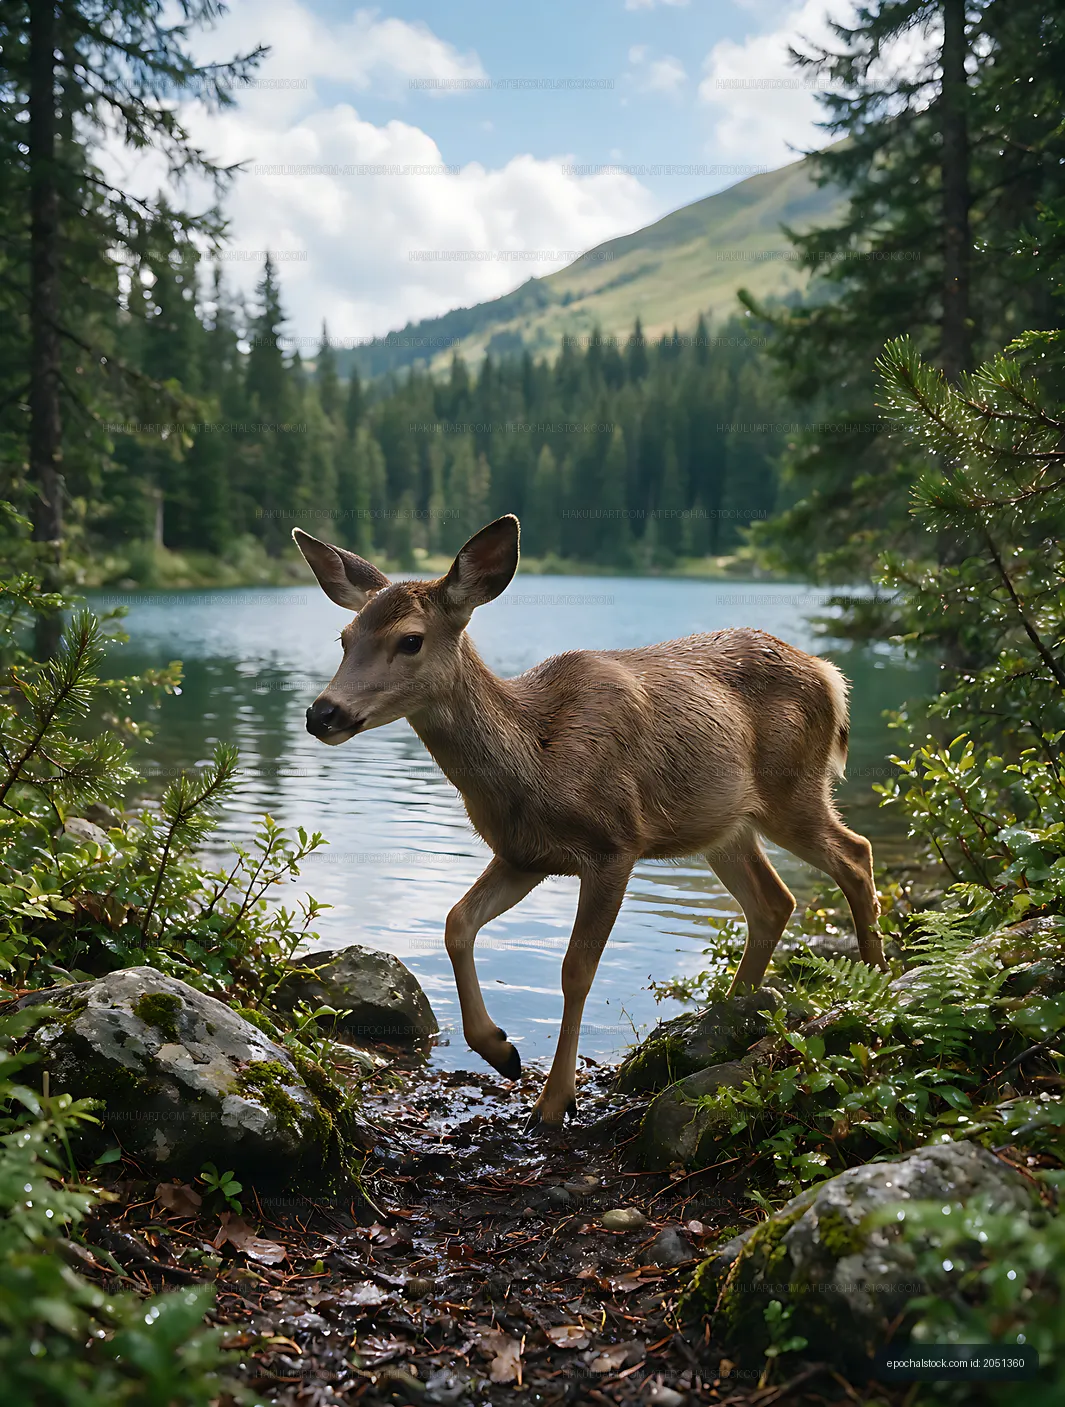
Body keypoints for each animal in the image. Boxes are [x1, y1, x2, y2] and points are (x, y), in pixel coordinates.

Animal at [294, 514, 885, 1128]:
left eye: (410, 640)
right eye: (344, 638)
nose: (322, 713)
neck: (536, 760)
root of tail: (830, 675)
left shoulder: (614, 844)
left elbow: (575, 970)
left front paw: (555, 1100)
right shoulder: (523, 854)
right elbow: (457, 923)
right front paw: (501, 1051)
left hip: (793, 791)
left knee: (855, 853)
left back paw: (877, 986)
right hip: (724, 825)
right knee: (774, 900)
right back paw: (724, 1013)